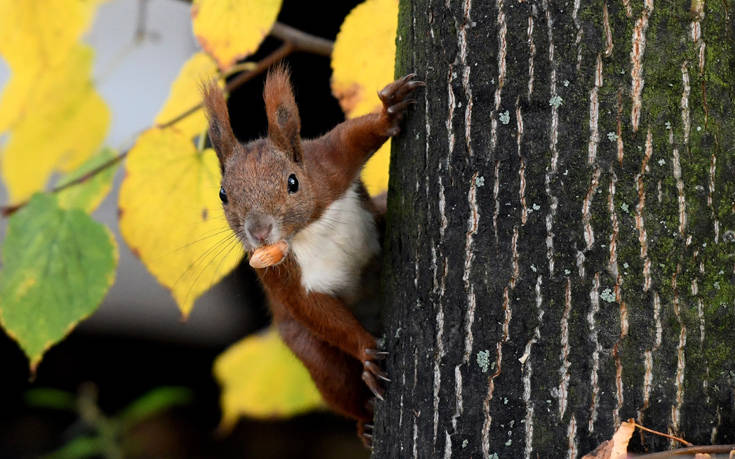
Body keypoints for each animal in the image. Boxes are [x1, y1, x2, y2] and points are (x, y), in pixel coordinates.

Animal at [204, 64, 422, 446]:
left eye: (293, 182)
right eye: (223, 194)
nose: (259, 231)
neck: (306, 229)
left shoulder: (328, 166)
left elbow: (353, 137)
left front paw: (390, 110)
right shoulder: (276, 273)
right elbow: (313, 309)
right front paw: (367, 352)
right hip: (314, 356)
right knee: (339, 384)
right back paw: (365, 423)